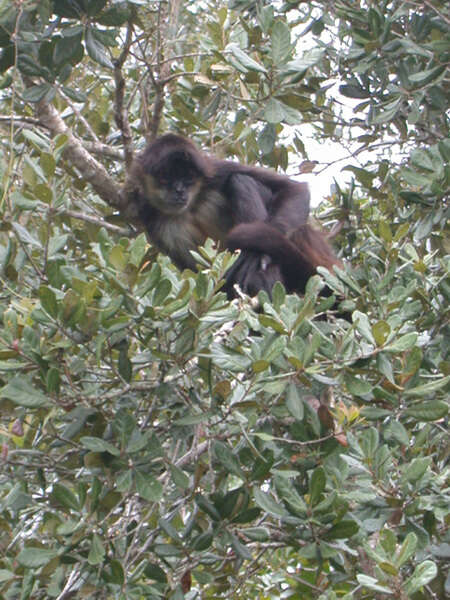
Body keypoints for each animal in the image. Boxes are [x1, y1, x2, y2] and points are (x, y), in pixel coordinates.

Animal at [123, 134, 342, 298]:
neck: (190, 207)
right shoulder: (150, 216)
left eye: (188, 178)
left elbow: (294, 189)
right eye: (165, 178)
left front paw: (257, 256)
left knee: (240, 180)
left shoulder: (216, 170)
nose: (179, 190)